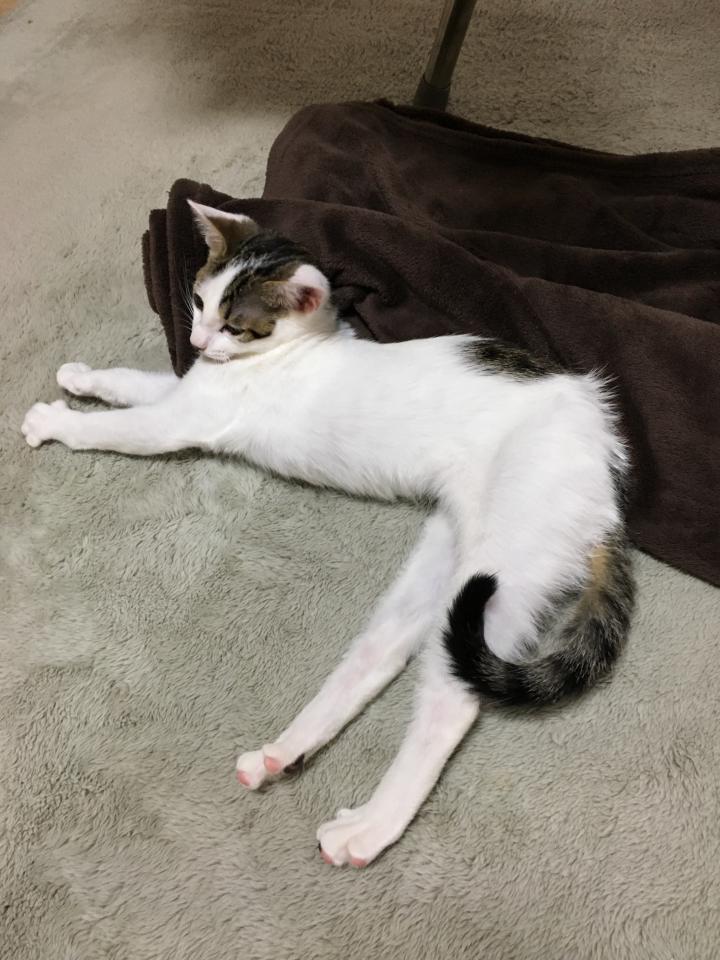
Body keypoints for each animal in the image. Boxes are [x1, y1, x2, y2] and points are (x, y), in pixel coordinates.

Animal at [22, 201, 635, 867]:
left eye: (235, 325)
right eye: (199, 300)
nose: (199, 340)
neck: (291, 351)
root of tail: (606, 464)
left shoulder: (182, 420)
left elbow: (121, 426)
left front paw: (55, 420)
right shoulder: (187, 391)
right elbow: (137, 381)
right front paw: (83, 377)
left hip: (503, 568)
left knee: (451, 702)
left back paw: (367, 829)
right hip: (442, 563)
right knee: (379, 654)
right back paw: (283, 752)